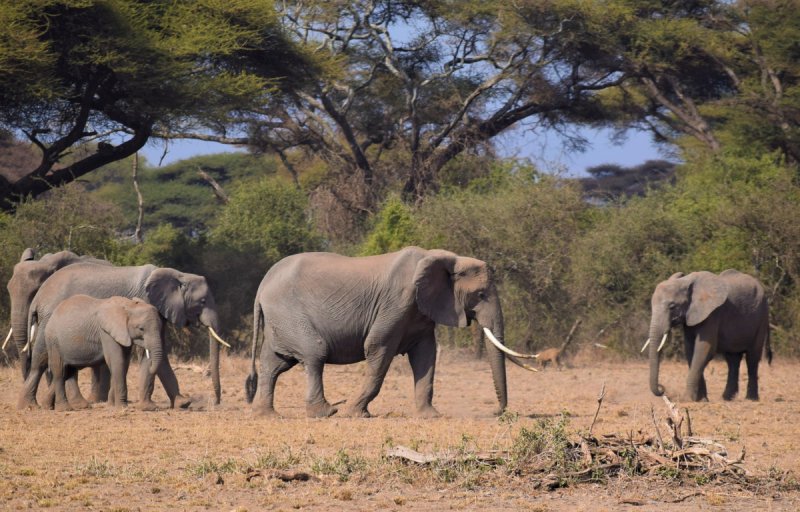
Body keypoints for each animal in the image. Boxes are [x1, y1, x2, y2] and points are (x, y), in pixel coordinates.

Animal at [18, 262, 230, 410]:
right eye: (202, 301)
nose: (216, 401)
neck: (178, 274)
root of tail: (39, 296)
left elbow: (159, 352)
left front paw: (182, 404)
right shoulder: (147, 303)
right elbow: (149, 353)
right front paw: (149, 407)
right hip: (49, 322)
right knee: (41, 360)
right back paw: (30, 406)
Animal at [245, 246, 538, 418]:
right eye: (480, 294)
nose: (497, 412)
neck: (446, 258)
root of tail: (262, 285)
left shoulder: (421, 311)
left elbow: (426, 356)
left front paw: (430, 416)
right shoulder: (397, 302)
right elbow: (378, 348)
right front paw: (355, 414)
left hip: (281, 318)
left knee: (274, 363)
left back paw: (266, 415)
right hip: (289, 312)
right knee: (314, 352)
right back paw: (327, 412)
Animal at [644, 269, 772, 402]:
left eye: (672, 306)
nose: (662, 389)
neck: (686, 282)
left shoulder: (713, 314)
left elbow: (704, 349)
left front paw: (687, 399)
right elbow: (690, 351)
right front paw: (701, 400)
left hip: (762, 316)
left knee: (752, 358)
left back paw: (751, 399)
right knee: (732, 359)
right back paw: (727, 398)